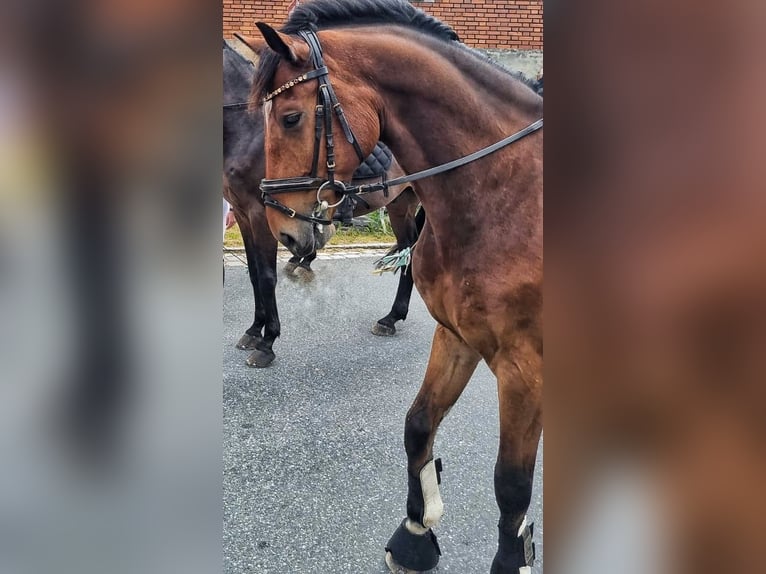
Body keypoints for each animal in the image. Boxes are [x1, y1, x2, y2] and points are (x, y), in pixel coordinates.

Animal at [224, 39, 426, 368]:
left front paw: (267, 341)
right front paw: (254, 330)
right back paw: (392, 317)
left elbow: (266, 276)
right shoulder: (243, 214)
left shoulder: (263, 215)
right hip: (401, 204)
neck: (246, 134)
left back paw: (393, 318)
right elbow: (254, 273)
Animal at [248, 2, 544, 572]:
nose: (285, 232)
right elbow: (418, 426)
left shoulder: (525, 368)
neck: (504, 196)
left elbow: (512, 485)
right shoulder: (456, 337)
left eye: (291, 117)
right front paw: (415, 533)